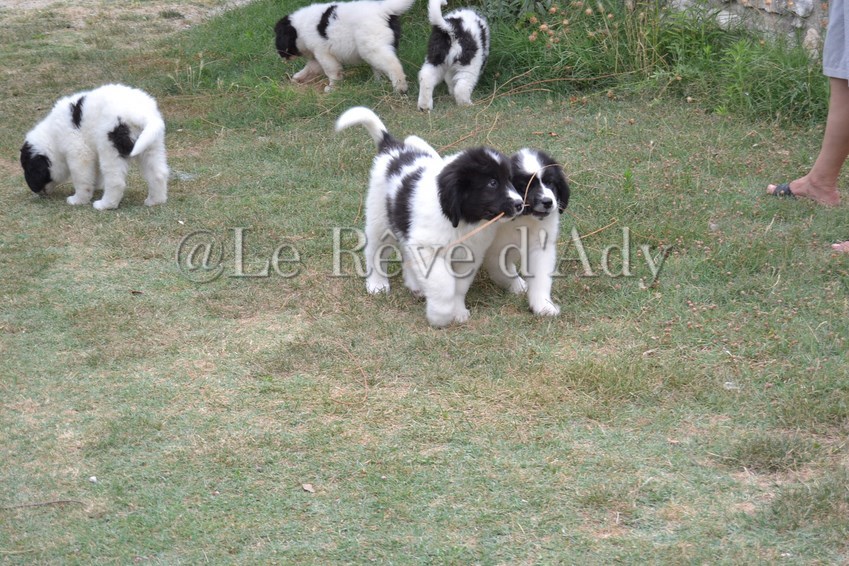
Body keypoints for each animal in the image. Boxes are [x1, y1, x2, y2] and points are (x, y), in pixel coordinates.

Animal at [20, 83, 168, 210]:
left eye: (29, 170)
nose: (36, 192)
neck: (53, 136)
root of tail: (139, 114)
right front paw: (95, 186)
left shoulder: (78, 153)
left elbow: (81, 178)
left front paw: (78, 200)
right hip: (152, 146)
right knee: (158, 173)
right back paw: (155, 201)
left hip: (109, 148)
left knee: (116, 181)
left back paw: (105, 205)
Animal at [275, 0, 414, 93]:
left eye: (279, 37)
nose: (279, 54)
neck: (299, 28)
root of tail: (384, 9)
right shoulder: (317, 56)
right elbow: (310, 68)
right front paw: (297, 77)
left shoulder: (323, 53)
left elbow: (331, 71)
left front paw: (331, 88)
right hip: (373, 47)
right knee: (380, 66)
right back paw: (377, 84)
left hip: (372, 46)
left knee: (393, 65)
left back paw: (400, 88)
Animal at [335, 106, 525, 327]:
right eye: (492, 183)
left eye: (510, 180)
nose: (520, 204)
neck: (460, 220)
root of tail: (392, 148)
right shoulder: (427, 249)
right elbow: (444, 284)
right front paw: (440, 316)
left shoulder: (468, 254)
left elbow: (459, 287)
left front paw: (458, 311)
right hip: (380, 219)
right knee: (375, 251)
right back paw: (377, 284)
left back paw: (414, 284)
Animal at [483, 148, 570, 316]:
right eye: (525, 186)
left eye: (550, 183)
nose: (547, 202)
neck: (524, 220)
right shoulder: (495, 251)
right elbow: (504, 272)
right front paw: (519, 287)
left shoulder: (540, 248)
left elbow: (541, 278)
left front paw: (543, 305)